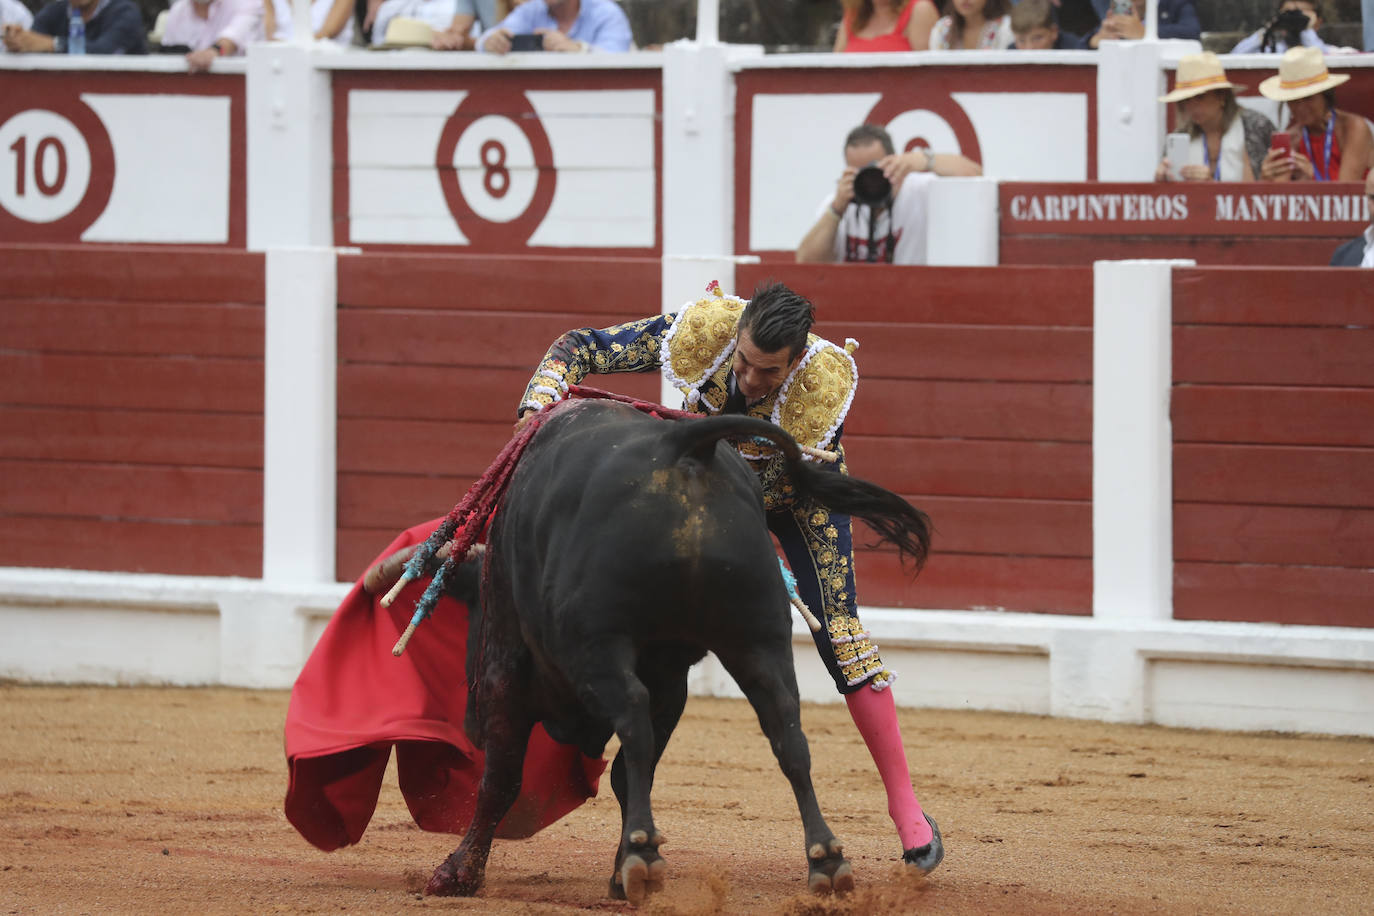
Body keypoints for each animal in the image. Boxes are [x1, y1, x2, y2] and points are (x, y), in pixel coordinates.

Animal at [420, 398, 934, 900]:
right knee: (788, 731)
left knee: (631, 716)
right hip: (758, 638)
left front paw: (458, 872)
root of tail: (685, 445)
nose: (469, 726)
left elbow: (504, 777)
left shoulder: (506, 666)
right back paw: (826, 860)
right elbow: (630, 773)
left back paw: (644, 857)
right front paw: (625, 865)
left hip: (597, 643)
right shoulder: (671, 679)